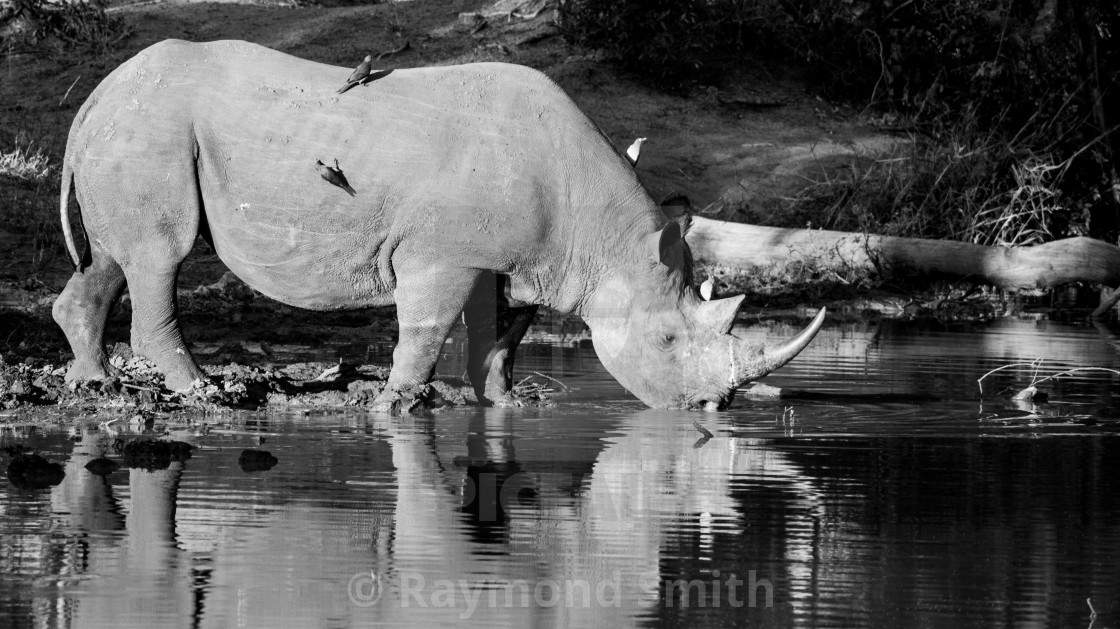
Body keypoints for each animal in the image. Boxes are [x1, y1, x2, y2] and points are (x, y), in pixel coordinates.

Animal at [54, 40, 824, 411]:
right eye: (667, 341)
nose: (713, 406)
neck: (600, 238)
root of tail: (97, 94)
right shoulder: (441, 254)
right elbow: (427, 327)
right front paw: (398, 402)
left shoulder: (504, 256)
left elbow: (497, 334)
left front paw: (504, 403)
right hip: (153, 129)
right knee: (161, 255)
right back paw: (204, 393)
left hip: (135, 128)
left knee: (115, 261)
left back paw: (97, 386)